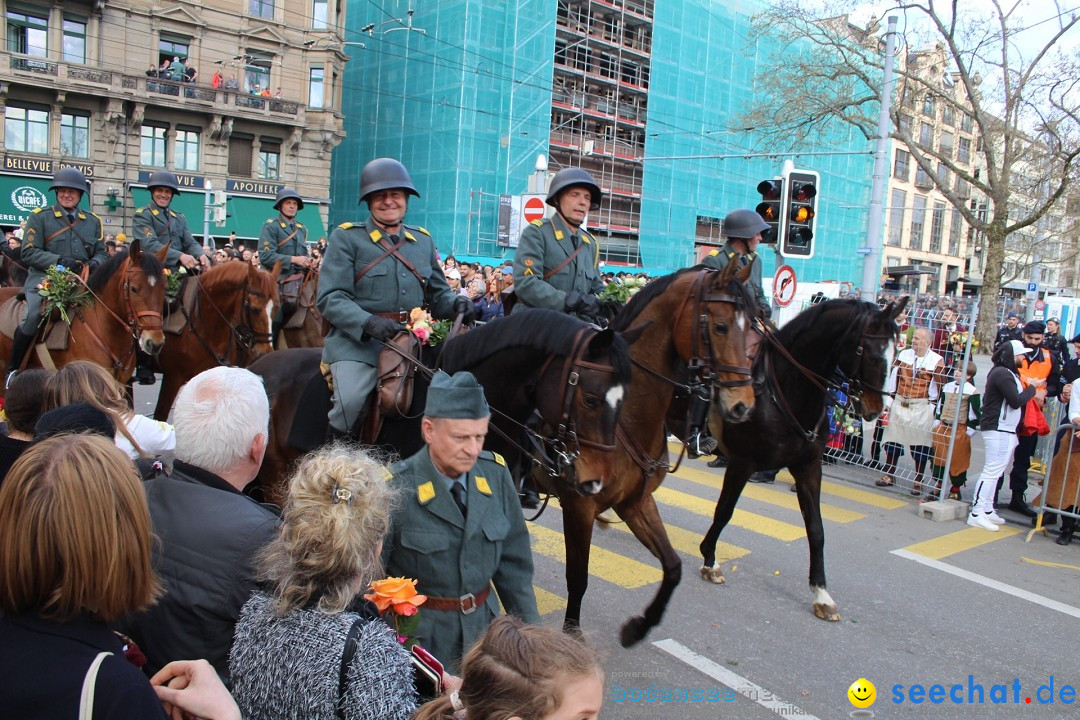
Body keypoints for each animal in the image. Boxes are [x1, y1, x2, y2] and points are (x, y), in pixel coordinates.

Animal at [561, 263, 756, 647]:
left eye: (751, 327)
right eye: (721, 326)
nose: (743, 405)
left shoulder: (635, 503)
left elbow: (673, 566)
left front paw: (638, 626)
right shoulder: (579, 506)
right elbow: (578, 578)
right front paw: (570, 638)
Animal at [695, 297, 907, 621]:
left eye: (895, 356)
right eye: (869, 354)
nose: (874, 410)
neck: (783, 390)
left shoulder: (808, 467)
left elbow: (816, 529)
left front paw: (821, 594)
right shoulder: (742, 463)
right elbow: (724, 511)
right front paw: (710, 561)